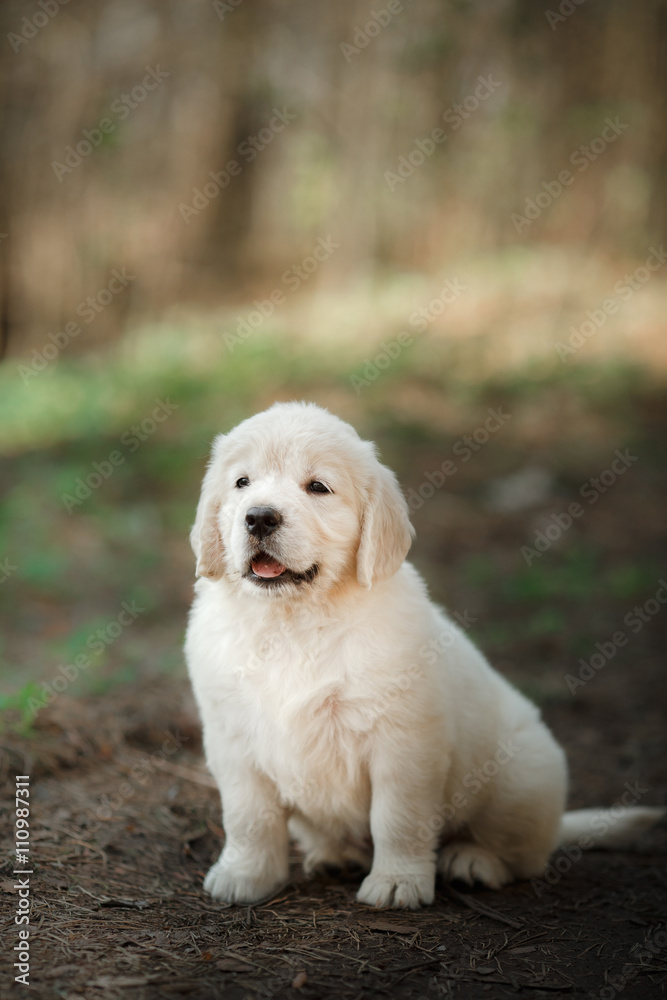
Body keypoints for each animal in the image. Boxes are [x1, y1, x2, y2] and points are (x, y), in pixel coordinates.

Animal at [185, 398, 664, 908]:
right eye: (242, 483)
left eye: (318, 487)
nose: (258, 517)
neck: (292, 621)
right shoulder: (232, 739)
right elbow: (249, 818)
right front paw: (244, 875)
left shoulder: (405, 742)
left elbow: (398, 818)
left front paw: (398, 883)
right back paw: (337, 854)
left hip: (523, 776)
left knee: (521, 853)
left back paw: (472, 861)